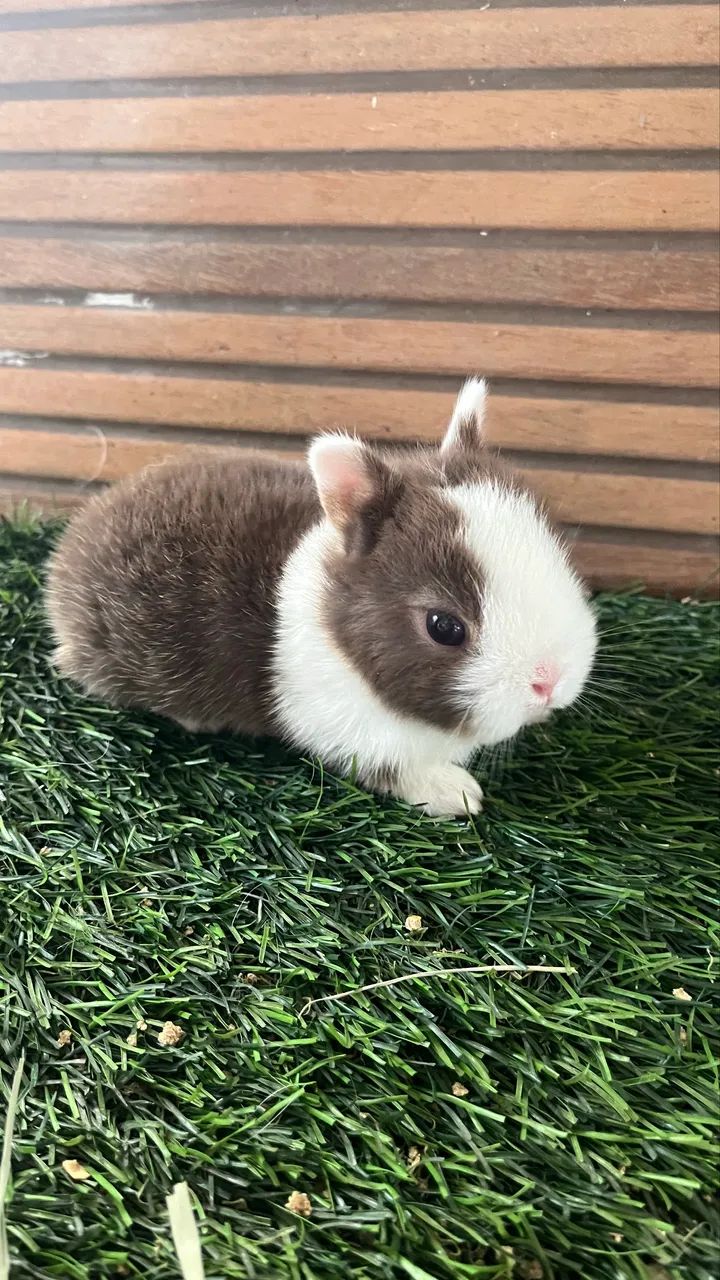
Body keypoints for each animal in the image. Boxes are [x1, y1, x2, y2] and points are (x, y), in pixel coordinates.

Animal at [45, 378, 597, 817]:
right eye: (445, 627)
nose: (551, 683)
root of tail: (69, 554)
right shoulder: (352, 734)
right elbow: (397, 771)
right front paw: (457, 794)